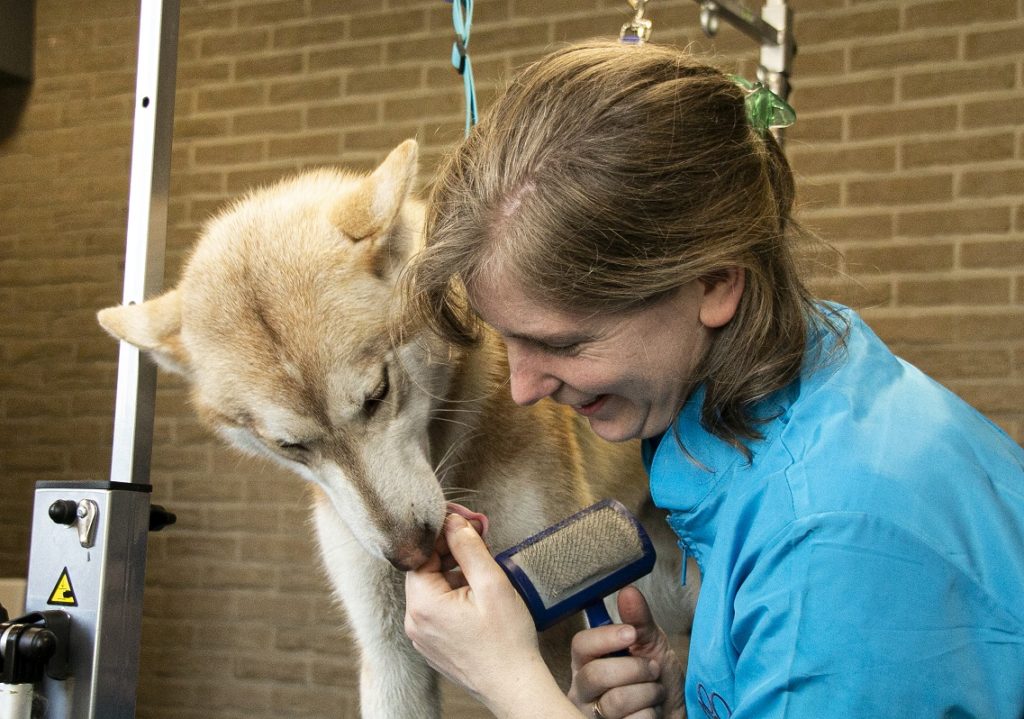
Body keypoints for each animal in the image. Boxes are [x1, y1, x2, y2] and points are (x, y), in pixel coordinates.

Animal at [97, 141, 696, 719]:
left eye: (378, 394)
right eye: (291, 446)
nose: (410, 553)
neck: (447, 457)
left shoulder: (552, 619)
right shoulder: (388, 648)